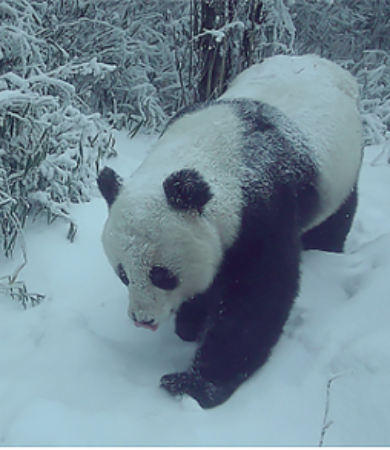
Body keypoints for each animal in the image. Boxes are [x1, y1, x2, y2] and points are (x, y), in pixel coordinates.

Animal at [96, 54, 362, 410]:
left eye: (162, 275)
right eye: (123, 274)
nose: (143, 319)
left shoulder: (263, 207)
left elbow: (257, 296)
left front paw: (194, 384)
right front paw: (190, 324)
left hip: (342, 170)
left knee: (336, 217)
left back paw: (326, 249)